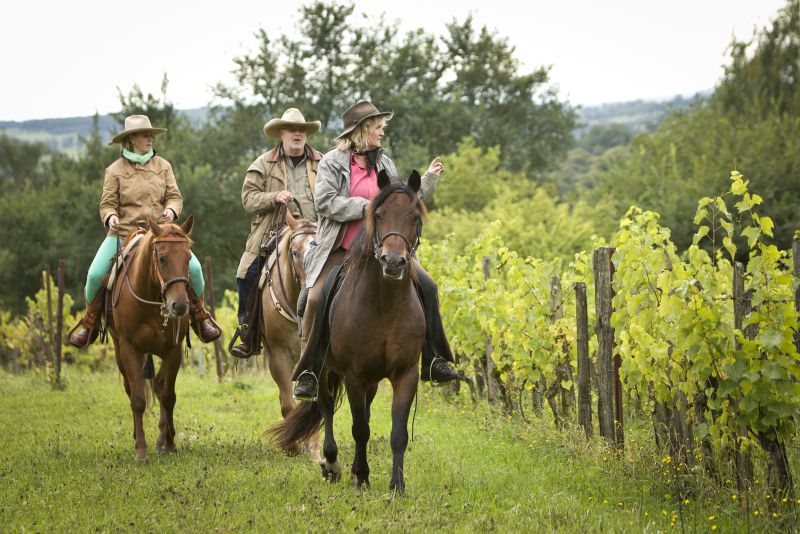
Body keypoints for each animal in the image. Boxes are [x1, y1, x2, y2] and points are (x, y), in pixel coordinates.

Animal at [108, 216, 195, 462]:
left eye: (188, 257)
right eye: (162, 258)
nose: (180, 305)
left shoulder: (173, 351)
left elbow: (167, 396)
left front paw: (169, 444)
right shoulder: (129, 349)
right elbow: (138, 399)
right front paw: (141, 452)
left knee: (158, 386)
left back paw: (161, 439)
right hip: (120, 352)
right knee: (131, 389)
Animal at [272, 170, 428, 496]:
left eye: (415, 217)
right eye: (378, 215)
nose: (393, 262)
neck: (385, 304)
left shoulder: (405, 374)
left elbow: (397, 432)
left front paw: (396, 486)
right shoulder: (354, 375)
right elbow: (359, 429)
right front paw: (363, 477)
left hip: (370, 380)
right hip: (322, 370)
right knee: (327, 407)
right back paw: (332, 465)